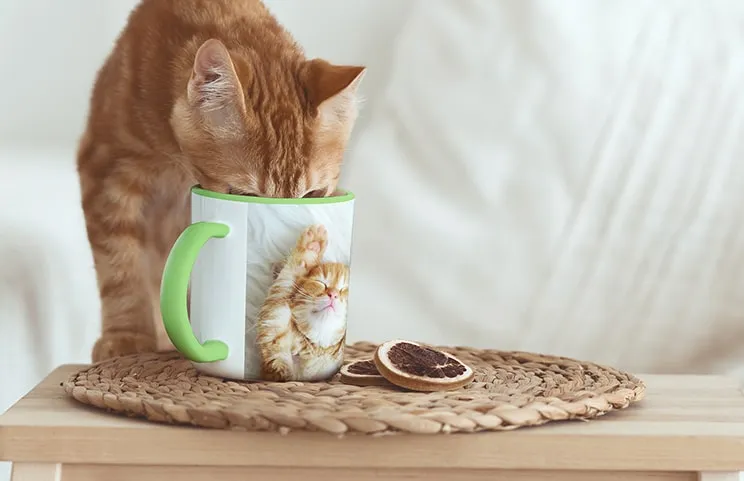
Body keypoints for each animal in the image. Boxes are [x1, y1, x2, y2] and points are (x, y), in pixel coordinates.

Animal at [256, 223, 348, 380]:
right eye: (320, 283)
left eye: (344, 289)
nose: (334, 294)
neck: (320, 347)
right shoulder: (276, 354)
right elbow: (285, 280)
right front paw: (313, 246)